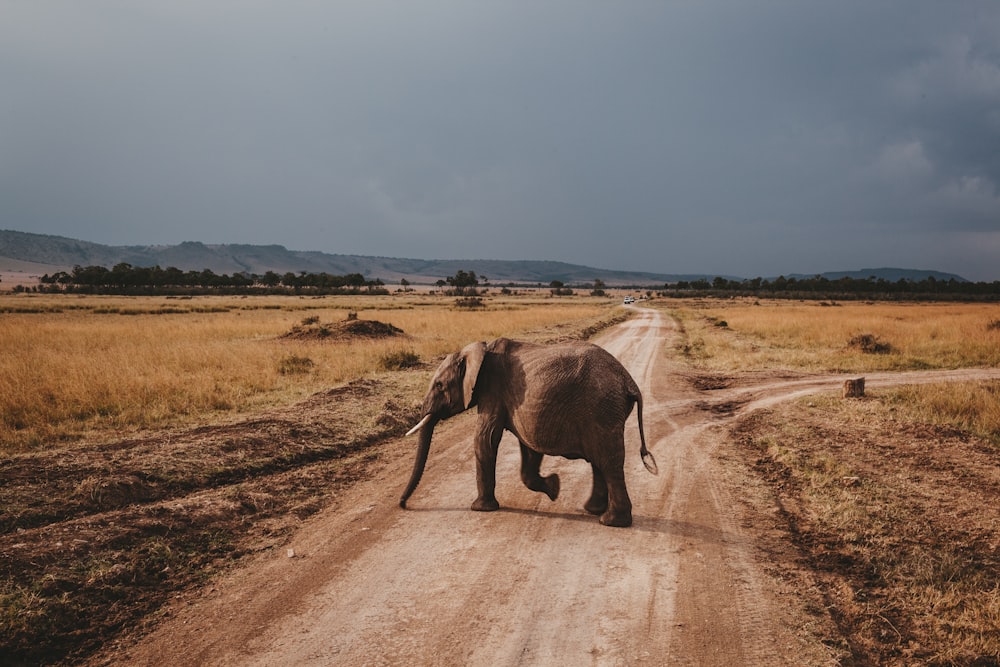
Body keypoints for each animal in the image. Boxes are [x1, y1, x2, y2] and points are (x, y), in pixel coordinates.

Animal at [398, 340, 656, 528]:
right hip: (604, 411)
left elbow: (485, 439)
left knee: (608, 461)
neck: (479, 349)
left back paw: (611, 522)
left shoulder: (492, 392)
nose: (402, 504)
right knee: (599, 460)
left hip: (603, 408)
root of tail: (628, 380)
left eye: (439, 385)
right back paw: (593, 511)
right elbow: (528, 448)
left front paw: (480, 508)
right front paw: (554, 488)